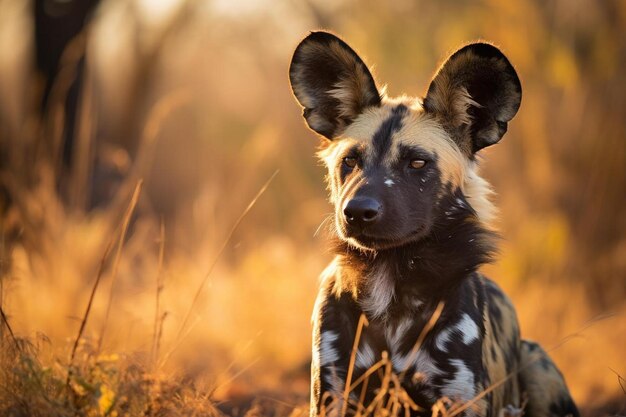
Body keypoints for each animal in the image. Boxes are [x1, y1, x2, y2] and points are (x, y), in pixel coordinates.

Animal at [288, 32, 580, 416]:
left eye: (416, 163)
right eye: (350, 160)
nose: (357, 211)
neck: (390, 286)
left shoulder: (458, 397)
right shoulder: (333, 391)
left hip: (537, 362)